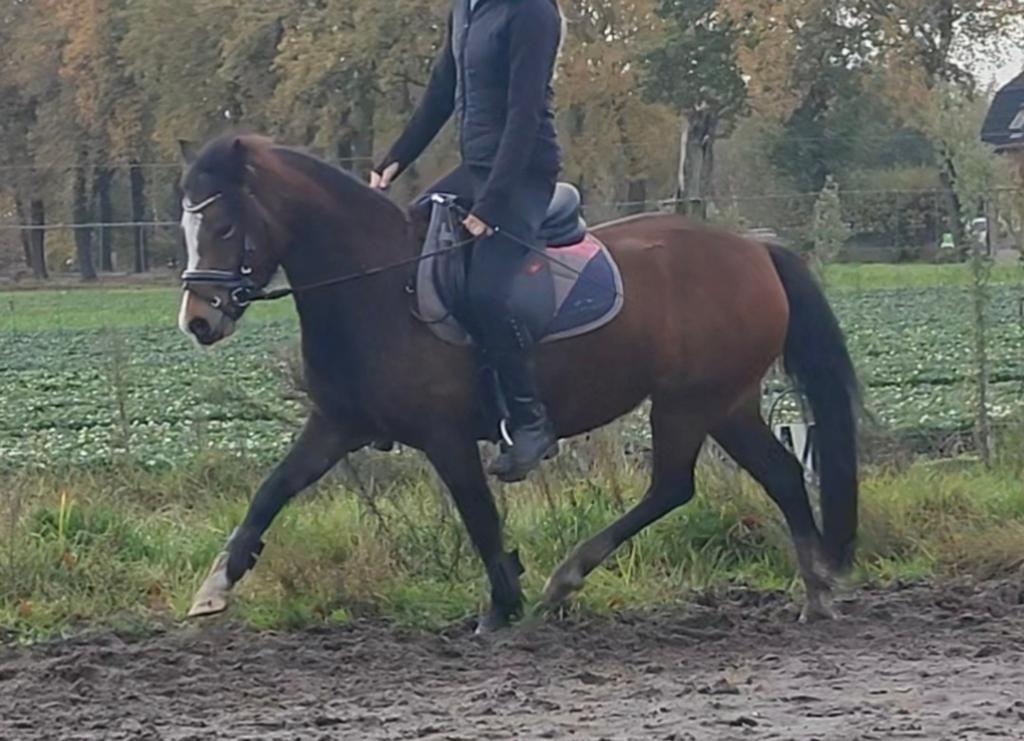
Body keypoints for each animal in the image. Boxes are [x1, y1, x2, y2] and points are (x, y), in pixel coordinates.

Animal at [177, 133, 859, 632]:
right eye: (187, 225)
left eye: (227, 226)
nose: (198, 321)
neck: (378, 285)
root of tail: (755, 250)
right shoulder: (338, 423)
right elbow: (271, 491)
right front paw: (214, 587)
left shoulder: (445, 435)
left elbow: (479, 516)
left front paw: (503, 606)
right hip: (727, 404)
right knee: (779, 474)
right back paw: (817, 591)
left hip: (689, 403)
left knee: (672, 487)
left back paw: (567, 578)